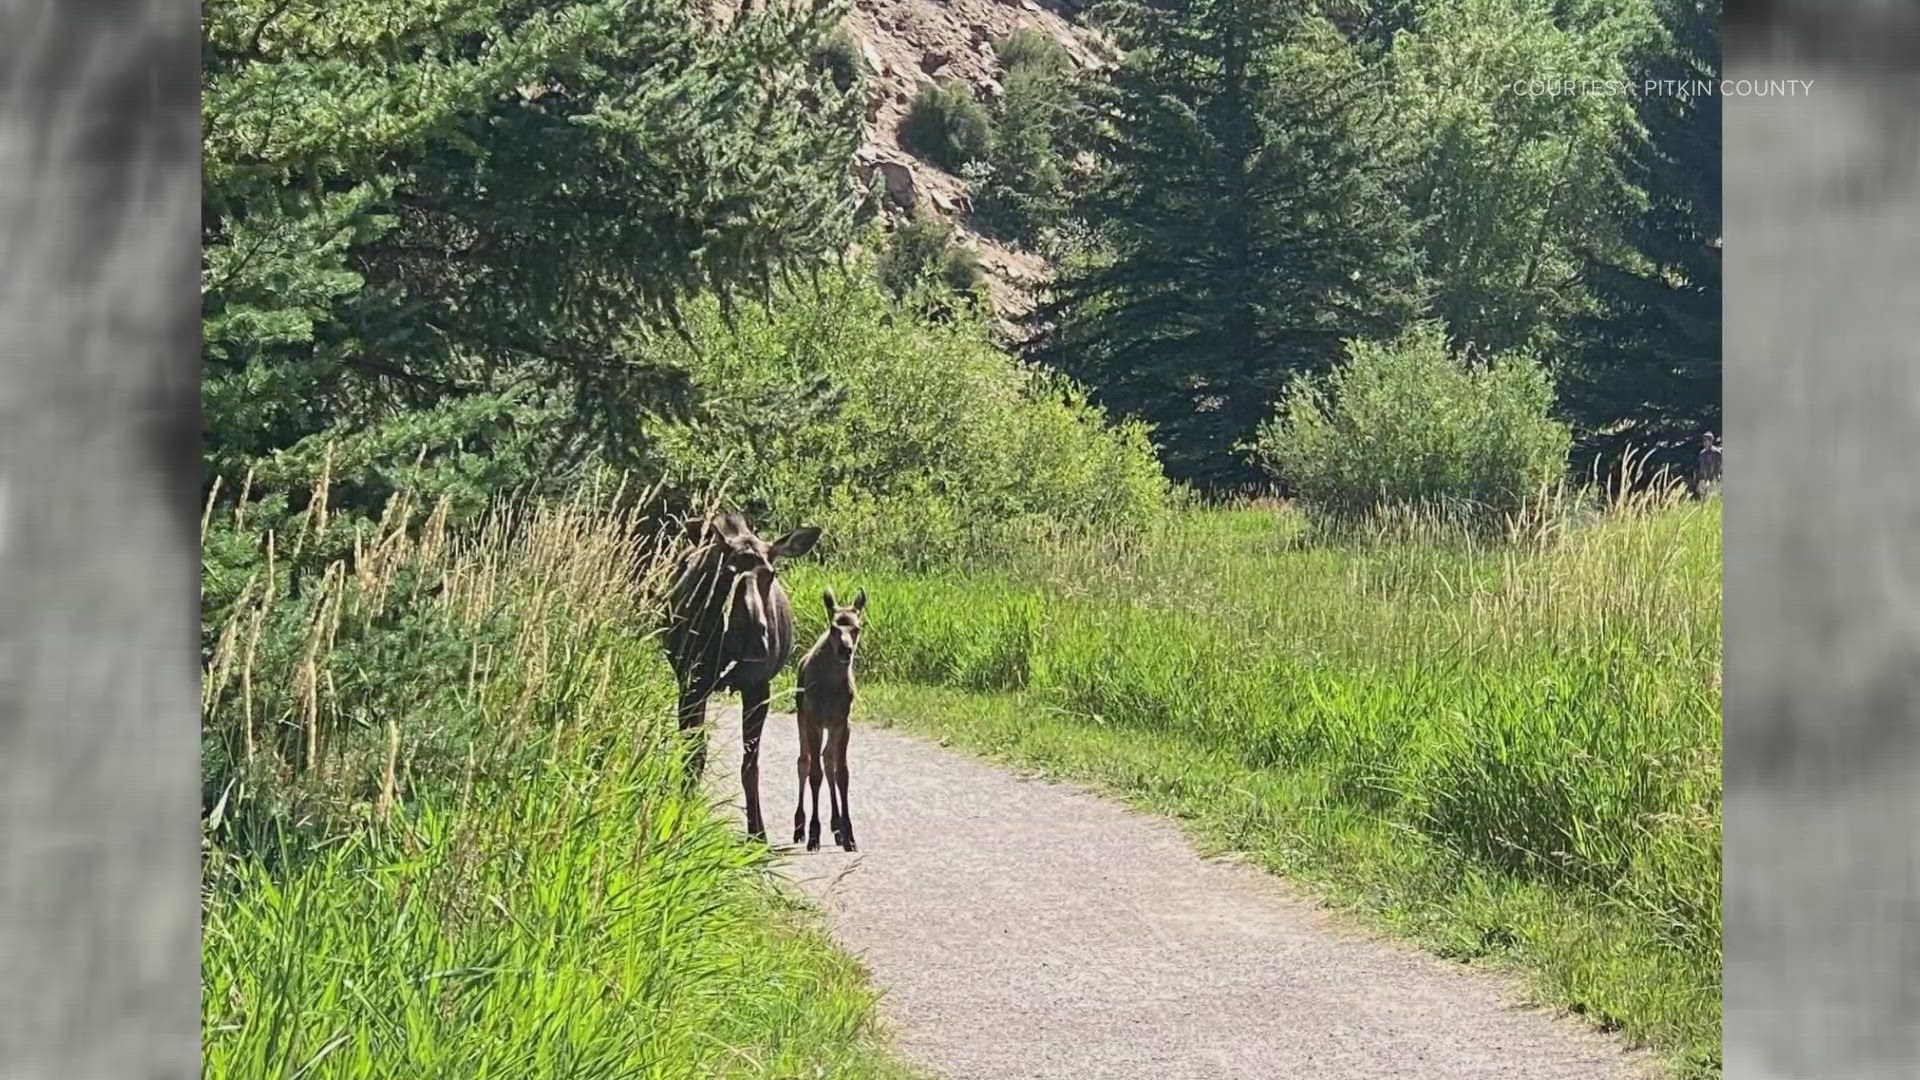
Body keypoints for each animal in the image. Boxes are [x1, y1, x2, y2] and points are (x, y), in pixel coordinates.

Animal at [664, 507, 821, 837]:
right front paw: (682, 816)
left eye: (771, 573)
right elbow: (694, 753)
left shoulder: (758, 687)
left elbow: (751, 763)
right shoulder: (693, 683)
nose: (756, 638)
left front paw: (758, 832)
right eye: (728, 571)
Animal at [791, 588, 867, 849]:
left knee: (827, 759)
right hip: (801, 717)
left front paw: (849, 834)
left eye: (857, 627)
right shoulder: (813, 719)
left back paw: (836, 825)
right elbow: (814, 774)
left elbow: (842, 773)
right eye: (834, 628)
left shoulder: (842, 721)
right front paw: (814, 833)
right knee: (803, 762)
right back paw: (799, 827)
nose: (846, 650)